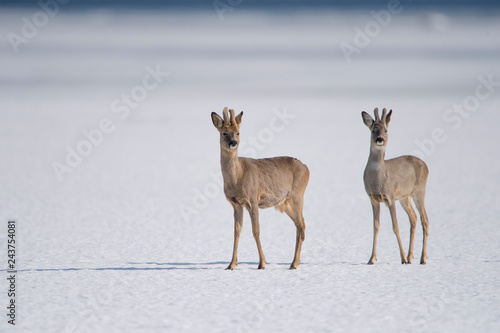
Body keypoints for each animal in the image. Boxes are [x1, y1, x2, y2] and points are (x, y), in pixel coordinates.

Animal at [210, 107, 308, 268]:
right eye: (224, 132)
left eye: (238, 132)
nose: (233, 142)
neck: (237, 177)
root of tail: (307, 168)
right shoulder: (236, 204)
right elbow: (237, 231)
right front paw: (231, 265)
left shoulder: (253, 199)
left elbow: (256, 231)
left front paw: (262, 263)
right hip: (285, 202)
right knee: (301, 225)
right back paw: (295, 262)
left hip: (297, 196)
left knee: (301, 226)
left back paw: (293, 264)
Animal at [360, 107, 430, 264]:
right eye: (373, 130)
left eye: (385, 130)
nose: (380, 139)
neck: (377, 178)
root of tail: (426, 165)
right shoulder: (373, 199)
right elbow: (375, 227)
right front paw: (371, 259)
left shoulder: (390, 196)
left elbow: (395, 226)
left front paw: (402, 258)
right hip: (405, 197)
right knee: (414, 218)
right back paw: (411, 257)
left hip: (419, 191)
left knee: (424, 219)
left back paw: (422, 258)